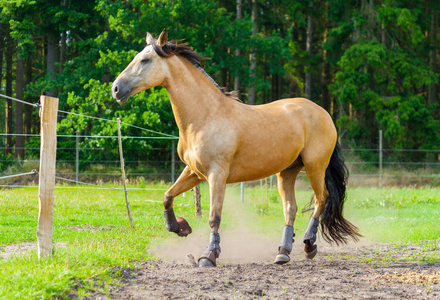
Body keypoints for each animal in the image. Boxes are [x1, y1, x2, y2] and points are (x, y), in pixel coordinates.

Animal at [111, 28, 360, 268]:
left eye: (145, 60)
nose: (115, 89)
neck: (206, 116)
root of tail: (323, 113)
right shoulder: (194, 172)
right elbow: (167, 196)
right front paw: (180, 227)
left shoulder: (216, 175)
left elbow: (214, 217)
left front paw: (208, 256)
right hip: (287, 171)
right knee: (290, 208)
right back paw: (283, 253)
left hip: (315, 166)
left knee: (321, 199)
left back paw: (309, 244)